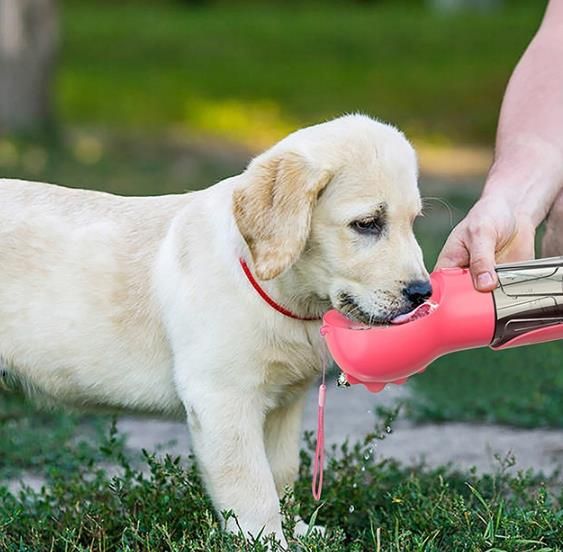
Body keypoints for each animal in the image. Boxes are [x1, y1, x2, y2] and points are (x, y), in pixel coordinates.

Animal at [0, 114, 430, 544]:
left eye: (413, 222)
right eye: (367, 224)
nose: (423, 293)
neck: (280, 293)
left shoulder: (285, 403)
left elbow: (281, 473)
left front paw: (300, 532)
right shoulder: (222, 399)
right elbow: (253, 486)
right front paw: (268, 542)